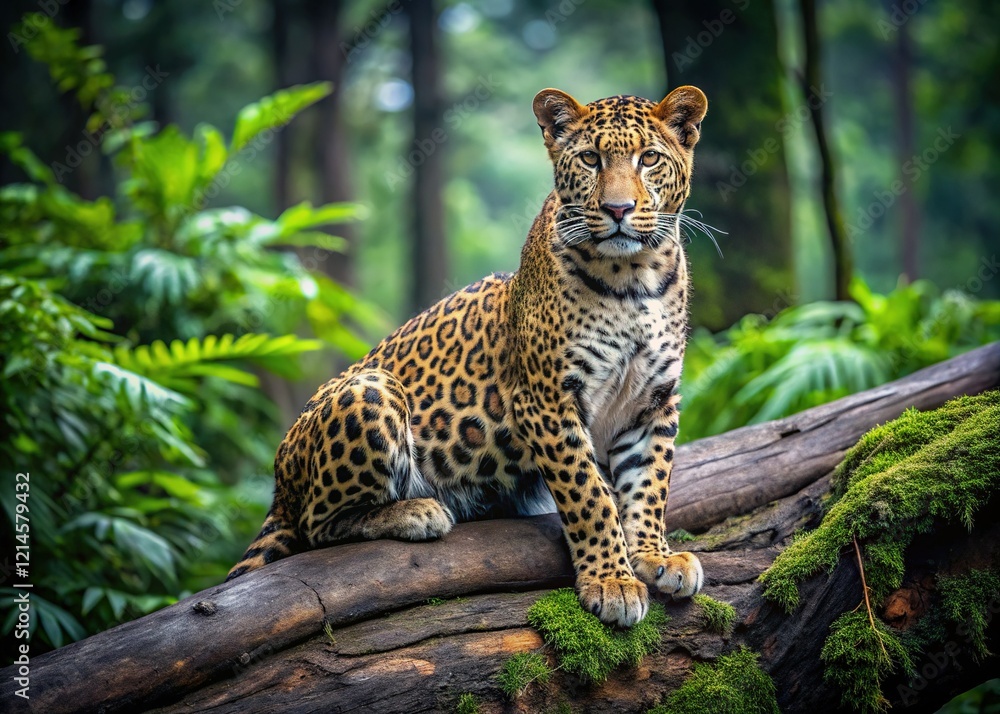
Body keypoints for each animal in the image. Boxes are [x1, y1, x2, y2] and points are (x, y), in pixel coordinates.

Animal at [227, 85, 709, 628]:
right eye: (590, 159)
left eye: (649, 159)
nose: (619, 208)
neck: (635, 278)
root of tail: (279, 485)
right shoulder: (547, 400)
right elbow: (589, 494)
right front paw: (611, 582)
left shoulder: (653, 401)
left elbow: (649, 486)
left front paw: (654, 555)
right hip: (369, 389)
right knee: (316, 525)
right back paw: (418, 511)